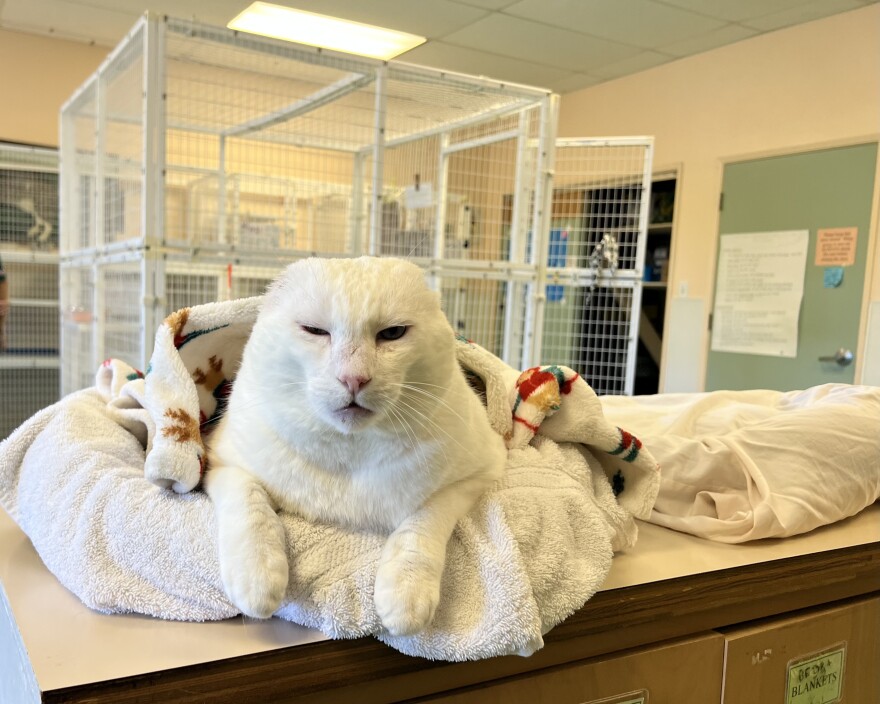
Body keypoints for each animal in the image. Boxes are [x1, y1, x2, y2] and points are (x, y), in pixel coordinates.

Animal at [204, 256, 506, 636]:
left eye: (392, 333)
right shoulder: (221, 462)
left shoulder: (479, 472)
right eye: (315, 330)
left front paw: (406, 594)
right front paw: (257, 580)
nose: (353, 378)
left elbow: (424, 521)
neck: (350, 452)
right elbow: (250, 506)